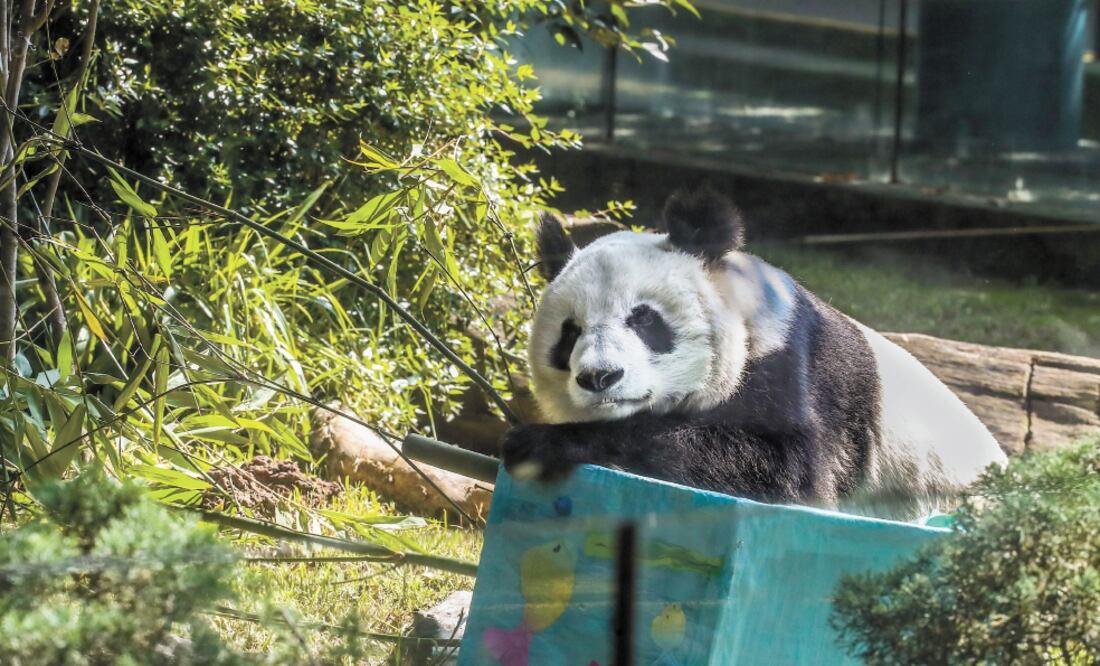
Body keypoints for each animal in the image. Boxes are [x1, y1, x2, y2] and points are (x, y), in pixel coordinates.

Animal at [500, 188, 1008, 520]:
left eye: (643, 319)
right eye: (570, 334)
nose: (600, 377)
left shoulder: (790, 365)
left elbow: (786, 471)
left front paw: (542, 443)